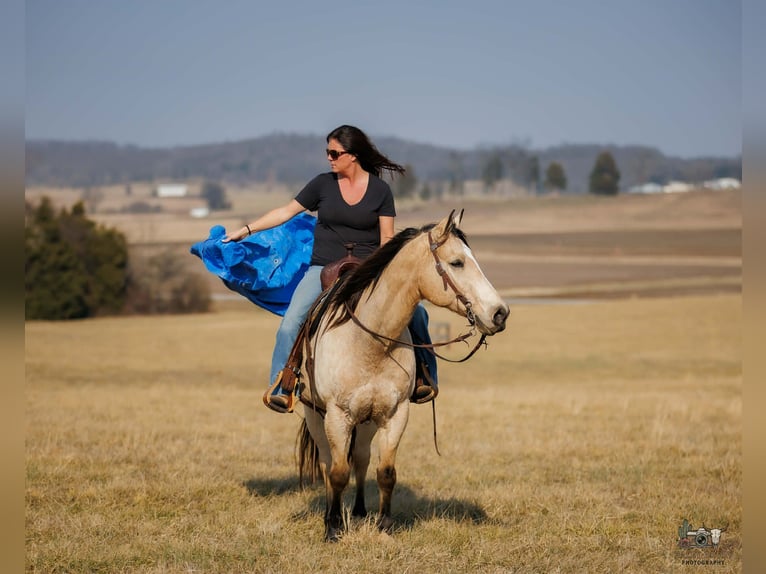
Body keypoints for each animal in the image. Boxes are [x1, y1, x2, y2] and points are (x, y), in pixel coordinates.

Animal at [296, 210, 509, 542]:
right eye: (457, 262)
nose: (500, 313)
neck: (371, 341)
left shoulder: (395, 414)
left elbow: (385, 472)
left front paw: (384, 525)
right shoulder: (337, 415)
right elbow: (338, 473)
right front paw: (332, 528)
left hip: (367, 421)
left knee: (361, 458)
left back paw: (359, 512)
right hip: (315, 415)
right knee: (329, 462)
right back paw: (334, 515)